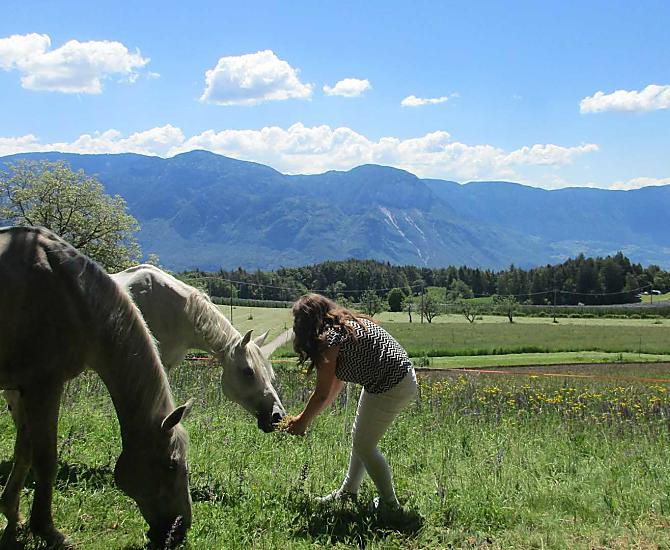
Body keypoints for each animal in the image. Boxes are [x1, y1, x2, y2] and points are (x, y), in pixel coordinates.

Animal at [0, 226, 193, 548]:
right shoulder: (43, 386)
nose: (179, 531)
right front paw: (47, 529)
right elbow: (45, 458)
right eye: (170, 465)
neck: (72, 295)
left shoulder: (21, 389)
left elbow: (24, 450)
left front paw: (13, 515)